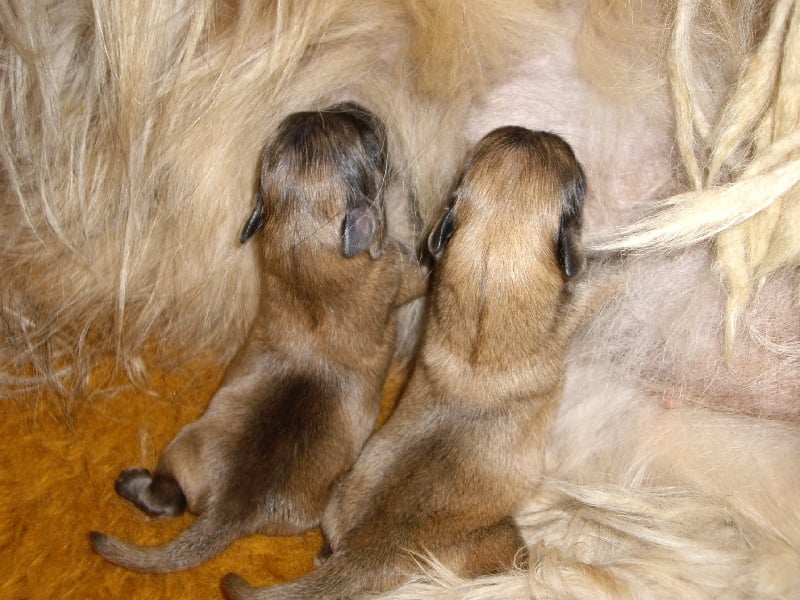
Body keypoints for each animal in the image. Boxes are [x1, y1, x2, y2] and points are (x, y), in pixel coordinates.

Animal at [88, 102, 428, 572]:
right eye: (369, 140)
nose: (354, 103)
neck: (303, 248)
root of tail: (233, 507)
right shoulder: (400, 269)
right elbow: (420, 256)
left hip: (185, 450)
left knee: (168, 500)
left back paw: (133, 485)